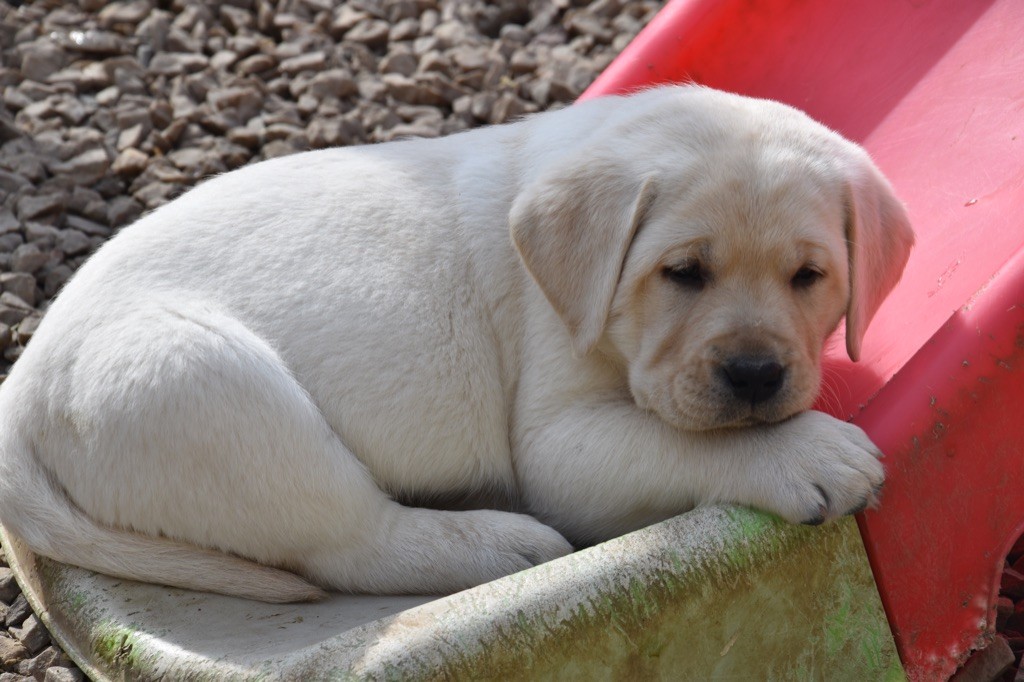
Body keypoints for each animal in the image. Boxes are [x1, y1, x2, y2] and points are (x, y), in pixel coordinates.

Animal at [0, 86, 913, 602]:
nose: (756, 374)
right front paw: (801, 453)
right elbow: (679, 441)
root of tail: (26, 381)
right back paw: (495, 542)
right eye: (682, 272)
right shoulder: (557, 440)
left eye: (809, 276)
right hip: (207, 385)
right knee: (350, 543)